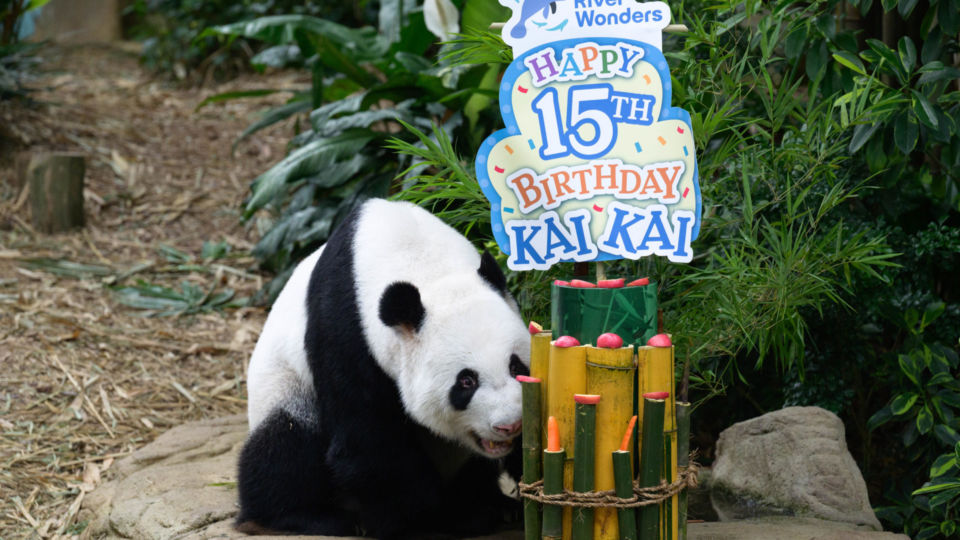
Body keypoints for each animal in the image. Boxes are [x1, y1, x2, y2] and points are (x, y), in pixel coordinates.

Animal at [234, 198, 532, 536]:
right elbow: (369, 440)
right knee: (284, 446)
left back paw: (489, 506)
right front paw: (420, 521)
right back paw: (309, 516)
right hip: (285, 384)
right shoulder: (347, 333)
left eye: (516, 366)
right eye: (466, 382)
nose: (510, 425)